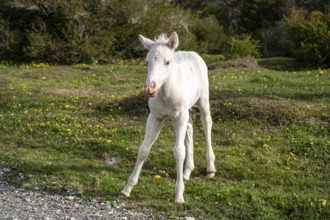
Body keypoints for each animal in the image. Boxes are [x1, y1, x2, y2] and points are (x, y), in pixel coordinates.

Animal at [121, 31, 217, 204]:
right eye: (147, 61)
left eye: (167, 62)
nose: (149, 87)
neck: (166, 94)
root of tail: (192, 53)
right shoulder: (155, 117)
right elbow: (144, 149)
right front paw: (127, 188)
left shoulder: (179, 117)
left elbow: (179, 152)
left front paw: (179, 195)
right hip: (185, 111)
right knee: (190, 126)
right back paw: (187, 171)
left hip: (202, 101)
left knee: (206, 123)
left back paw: (210, 168)